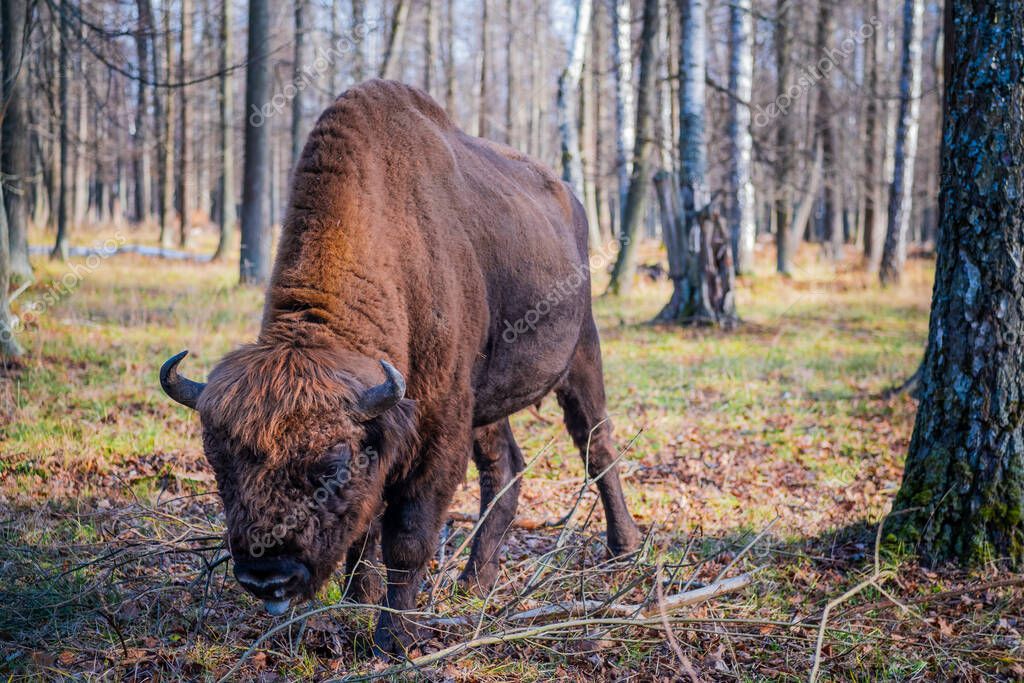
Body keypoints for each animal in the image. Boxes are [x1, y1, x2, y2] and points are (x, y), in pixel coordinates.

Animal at [159, 80, 638, 655]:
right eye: (218, 460)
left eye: (332, 464)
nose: (266, 576)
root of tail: (570, 201)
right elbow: (364, 527)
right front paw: (355, 602)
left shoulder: (437, 425)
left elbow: (407, 537)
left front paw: (393, 639)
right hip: (488, 403)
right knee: (505, 468)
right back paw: (475, 582)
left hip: (581, 357)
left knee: (598, 446)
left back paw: (623, 549)